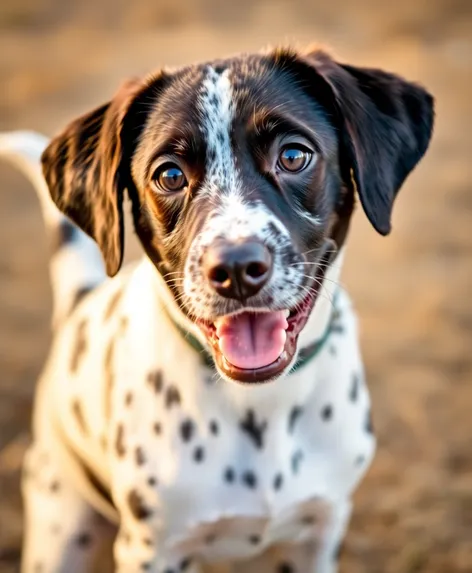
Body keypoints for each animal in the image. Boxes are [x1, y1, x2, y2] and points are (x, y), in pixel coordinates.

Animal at [0, 45, 434, 572]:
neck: (262, 407)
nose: (236, 268)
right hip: (59, 523)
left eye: (294, 154)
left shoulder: (318, 535)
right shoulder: (152, 551)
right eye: (169, 174)